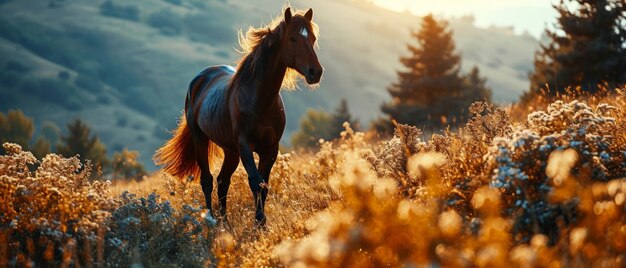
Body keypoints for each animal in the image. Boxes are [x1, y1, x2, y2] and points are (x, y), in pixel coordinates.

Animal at [154, 7, 322, 226]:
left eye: (312, 38)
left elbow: (264, 185)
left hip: (230, 151)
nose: (316, 72)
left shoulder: (270, 149)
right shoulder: (245, 145)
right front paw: (259, 222)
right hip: (201, 139)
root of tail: (198, 79)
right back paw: (211, 220)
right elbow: (255, 182)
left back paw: (225, 222)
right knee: (207, 180)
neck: (260, 99)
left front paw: (261, 223)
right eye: (293, 38)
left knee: (223, 181)